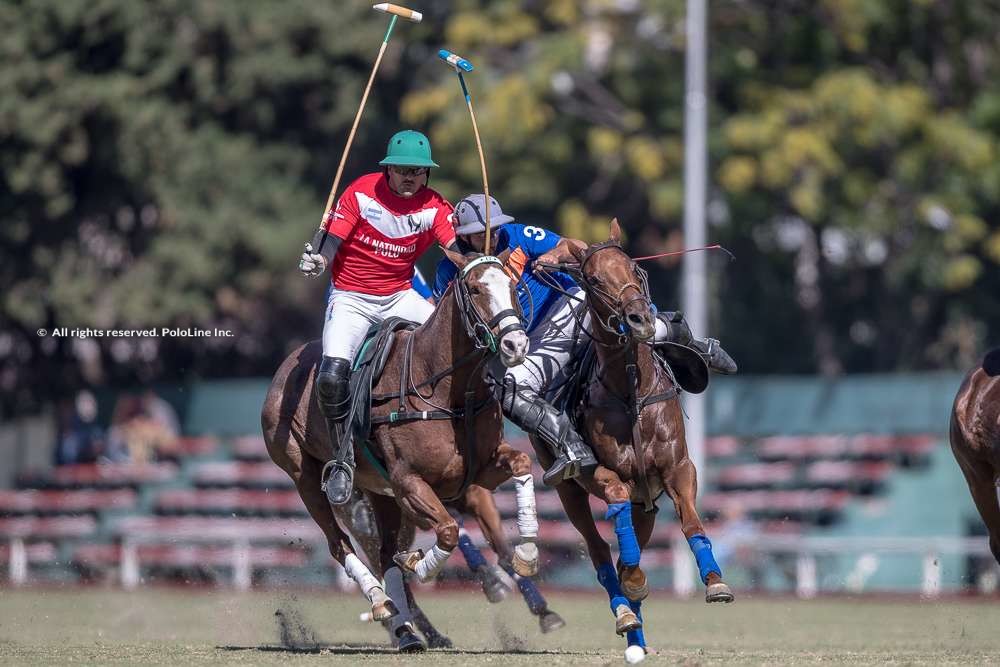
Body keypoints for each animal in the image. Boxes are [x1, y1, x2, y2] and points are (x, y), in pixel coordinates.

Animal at [258, 248, 540, 648]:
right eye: (474, 288)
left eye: (513, 286)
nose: (516, 345)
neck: (450, 391)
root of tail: (285, 366)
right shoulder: (409, 482)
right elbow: (448, 530)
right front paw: (424, 566)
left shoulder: (478, 470)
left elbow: (521, 463)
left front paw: (526, 552)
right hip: (305, 476)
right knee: (340, 544)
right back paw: (382, 602)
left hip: (380, 493)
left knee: (385, 554)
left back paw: (406, 631)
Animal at [532, 222, 736, 648]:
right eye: (593, 279)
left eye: (635, 269)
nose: (640, 318)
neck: (631, 391)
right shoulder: (602, 474)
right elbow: (616, 506)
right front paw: (634, 583)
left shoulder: (678, 467)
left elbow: (691, 522)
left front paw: (715, 582)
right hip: (568, 489)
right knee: (600, 550)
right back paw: (626, 612)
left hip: (648, 502)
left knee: (630, 545)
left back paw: (636, 629)